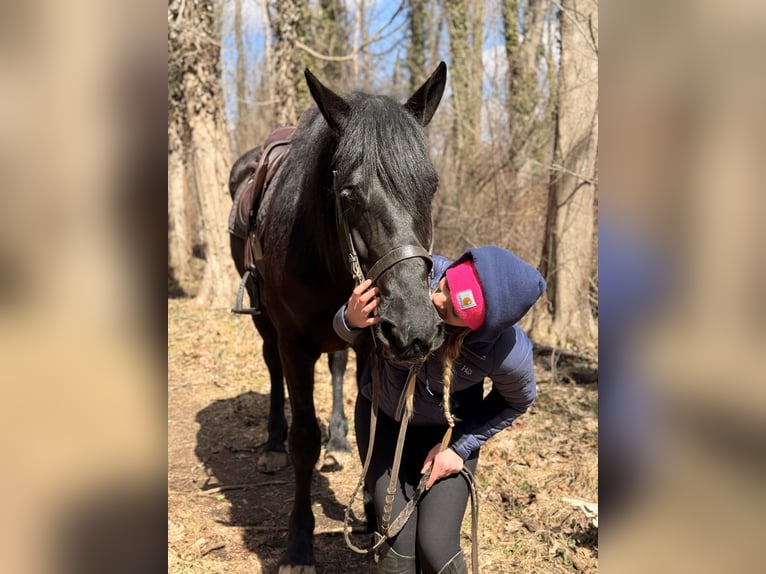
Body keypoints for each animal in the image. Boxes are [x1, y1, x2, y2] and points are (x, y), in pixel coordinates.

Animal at [230, 62, 447, 573]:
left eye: (430, 188)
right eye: (348, 194)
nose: (415, 328)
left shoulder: (371, 344)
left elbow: (372, 429)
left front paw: (371, 518)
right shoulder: (294, 343)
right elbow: (304, 440)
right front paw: (298, 545)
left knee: (336, 366)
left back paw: (340, 440)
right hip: (266, 326)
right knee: (272, 369)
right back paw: (272, 444)